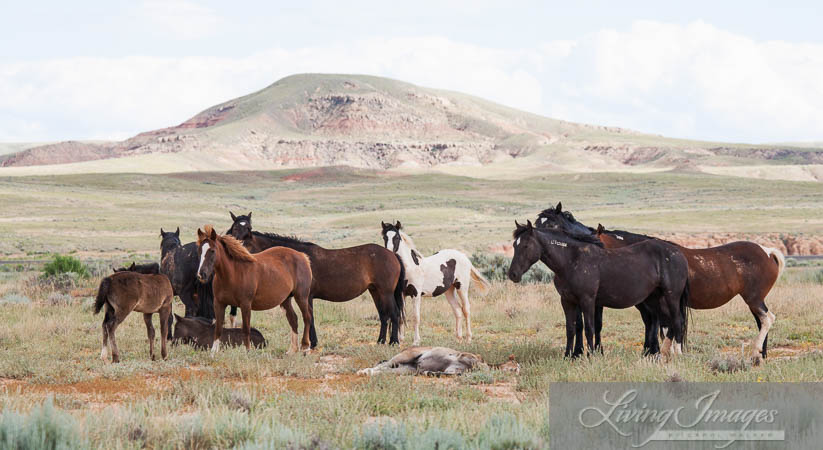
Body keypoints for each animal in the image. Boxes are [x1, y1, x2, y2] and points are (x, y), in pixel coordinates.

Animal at [227, 213, 408, 346]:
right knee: (384, 315)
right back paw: (380, 341)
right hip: (375, 291)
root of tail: (392, 255)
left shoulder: (306, 296)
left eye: (245, 245)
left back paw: (393, 341)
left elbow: (309, 317)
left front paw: (311, 343)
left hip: (386, 292)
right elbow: (310, 317)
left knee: (394, 313)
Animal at [508, 220, 688, 360]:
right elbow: (571, 329)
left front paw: (591, 356)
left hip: (671, 297)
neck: (572, 261)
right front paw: (568, 356)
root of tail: (678, 253)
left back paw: (677, 354)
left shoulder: (588, 300)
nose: (513, 274)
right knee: (665, 323)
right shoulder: (567, 301)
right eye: (514, 245)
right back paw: (662, 353)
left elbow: (590, 328)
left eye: (525, 245)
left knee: (676, 321)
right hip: (654, 299)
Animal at [536, 202, 784, 360]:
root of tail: (767, 251)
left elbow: (652, 324)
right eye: (538, 224)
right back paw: (762, 353)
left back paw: (756, 352)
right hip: (753, 299)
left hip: (753, 298)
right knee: (762, 321)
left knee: (767, 319)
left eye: (550, 225)